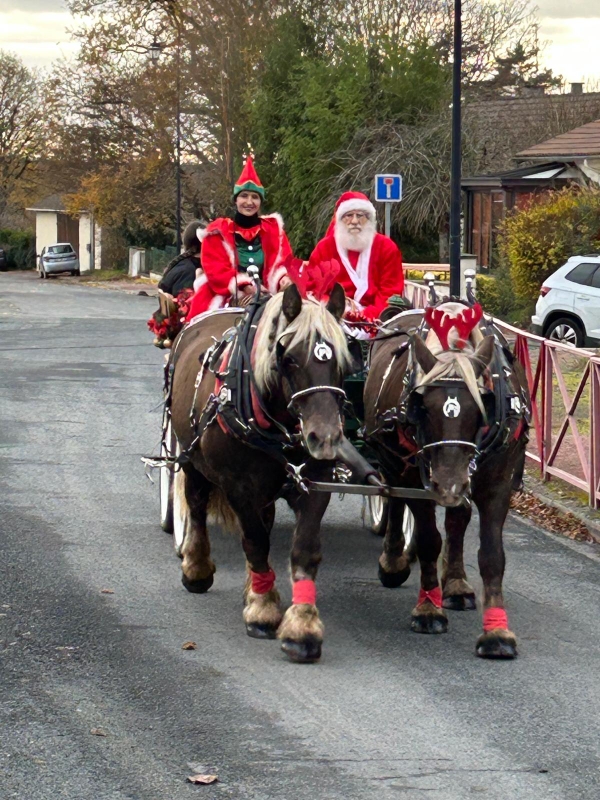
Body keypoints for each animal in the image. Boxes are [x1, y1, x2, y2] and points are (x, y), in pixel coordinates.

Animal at [168, 282, 355, 663]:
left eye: (342, 361)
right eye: (290, 358)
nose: (326, 437)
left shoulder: (315, 483)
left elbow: (303, 549)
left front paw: (302, 626)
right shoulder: (237, 486)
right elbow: (254, 540)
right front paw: (263, 610)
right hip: (192, 459)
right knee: (196, 505)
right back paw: (196, 567)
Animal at [364, 302, 529, 658]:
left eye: (481, 407)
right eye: (423, 408)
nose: (449, 484)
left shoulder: (497, 482)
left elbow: (492, 555)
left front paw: (497, 632)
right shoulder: (419, 481)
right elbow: (428, 539)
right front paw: (428, 609)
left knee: (457, 518)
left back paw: (455, 584)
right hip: (393, 460)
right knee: (394, 500)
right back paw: (394, 562)